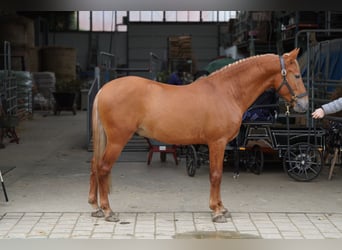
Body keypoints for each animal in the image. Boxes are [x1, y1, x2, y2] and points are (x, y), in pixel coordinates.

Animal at [87, 48, 308, 223]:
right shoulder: (217, 143)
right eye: (297, 75)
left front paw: (221, 208)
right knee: (103, 168)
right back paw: (108, 211)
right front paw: (217, 211)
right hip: (117, 140)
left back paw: (95, 207)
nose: (304, 105)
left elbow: (218, 175)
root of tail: (104, 89)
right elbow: (216, 175)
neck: (226, 91)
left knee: (95, 166)